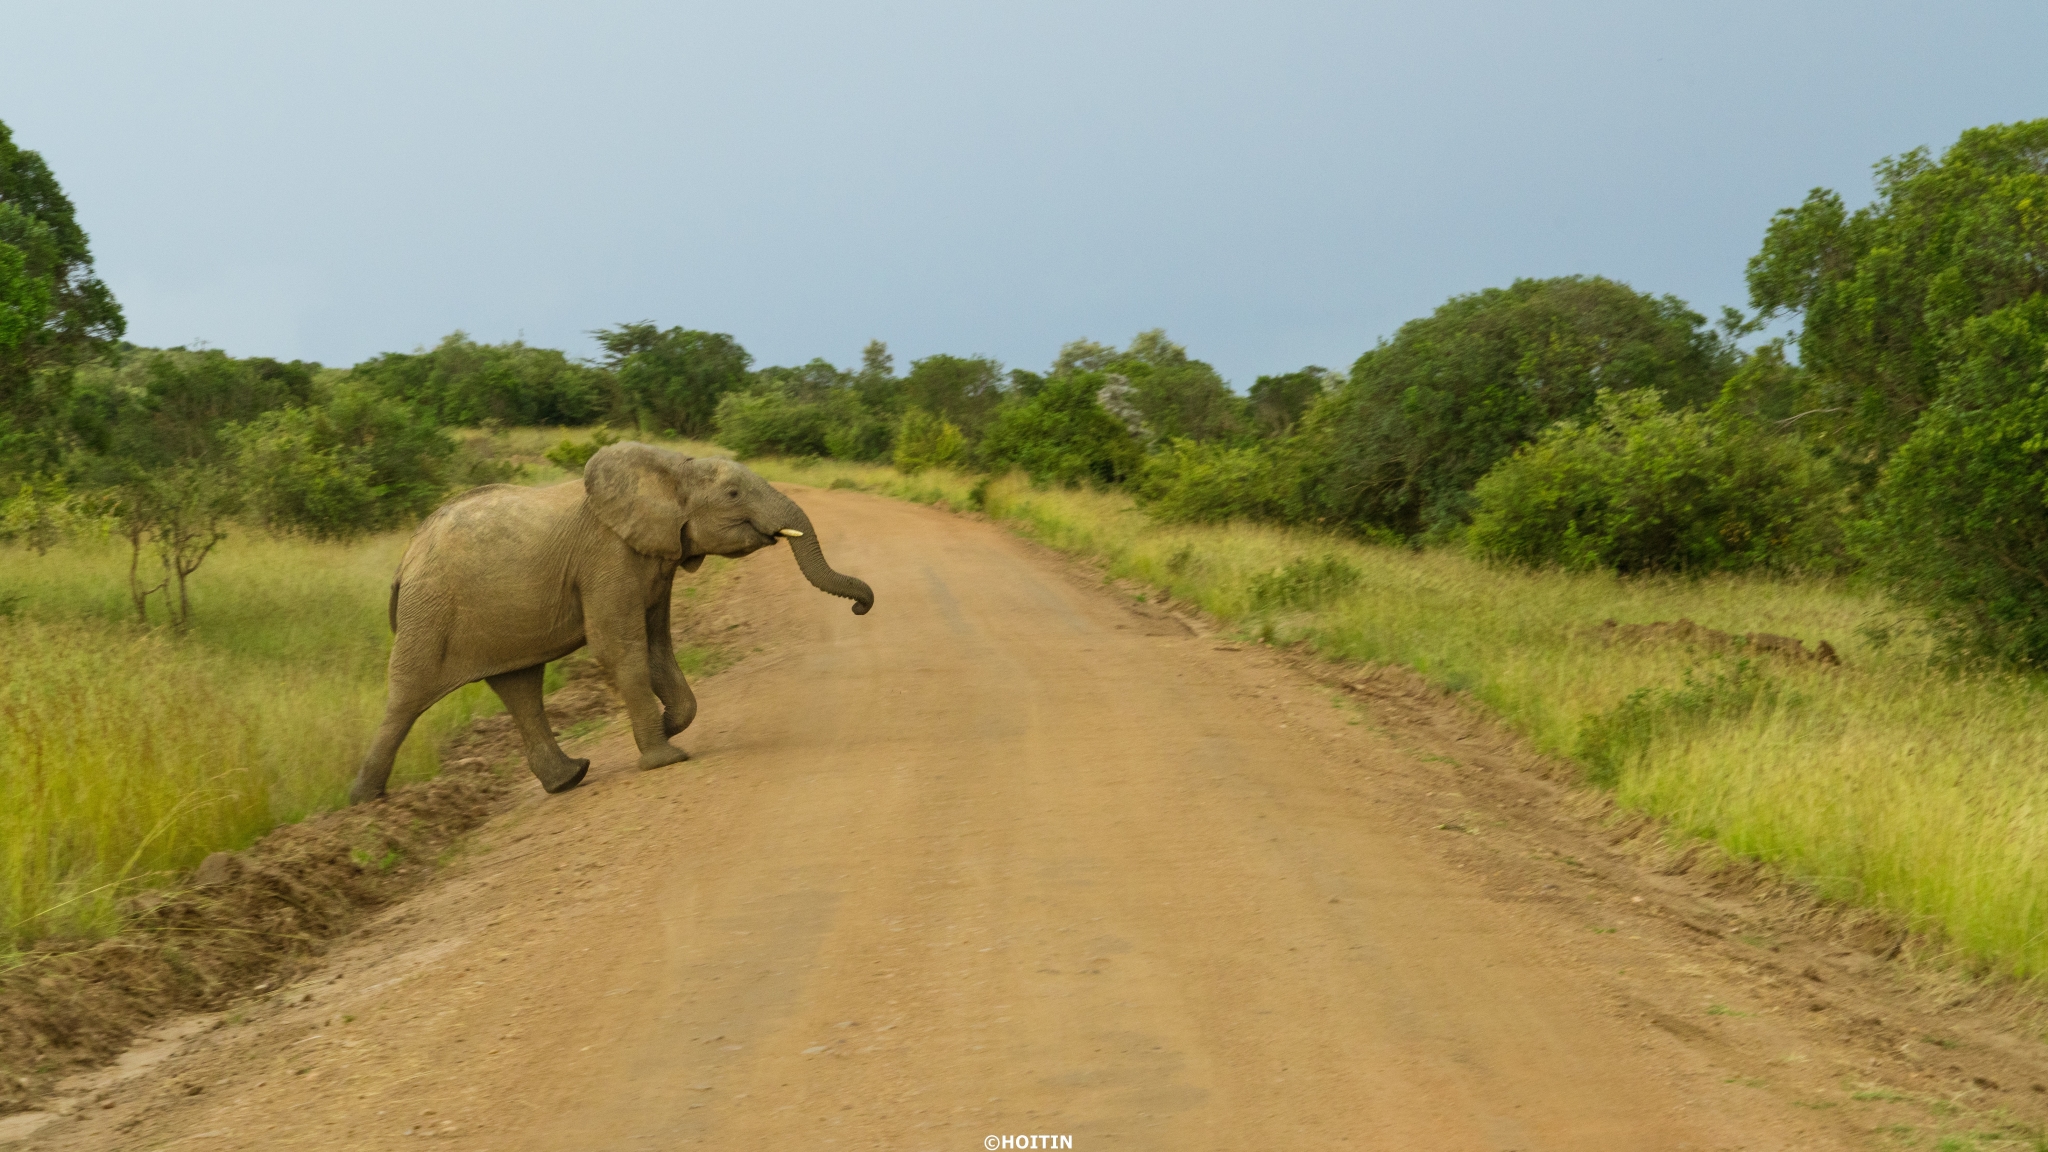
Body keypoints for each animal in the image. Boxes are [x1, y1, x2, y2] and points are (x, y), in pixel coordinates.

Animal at [346, 438, 872, 799]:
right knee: (408, 696)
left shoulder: (653, 558)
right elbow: (620, 647)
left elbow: (657, 646)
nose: (860, 606)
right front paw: (666, 757)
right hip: (429, 609)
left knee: (519, 687)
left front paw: (669, 724)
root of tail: (406, 558)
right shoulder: (607, 557)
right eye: (733, 494)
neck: (670, 468)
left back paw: (570, 778)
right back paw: (366, 802)